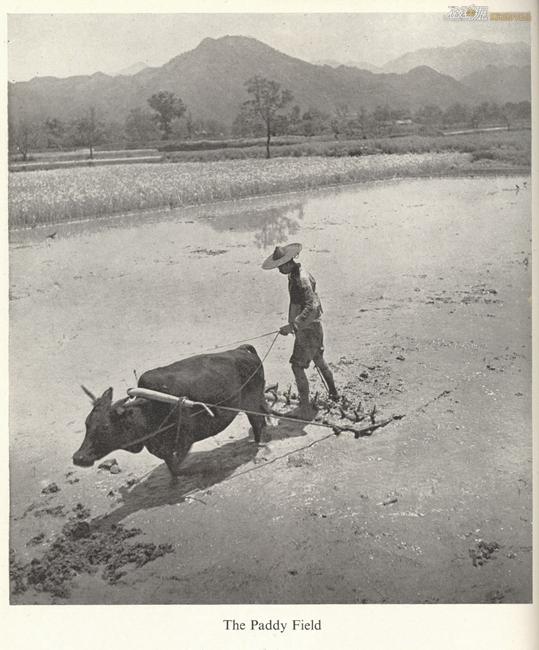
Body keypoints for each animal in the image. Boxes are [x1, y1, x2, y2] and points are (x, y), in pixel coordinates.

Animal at [74, 344, 268, 476]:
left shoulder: (185, 439)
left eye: (105, 426)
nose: (78, 457)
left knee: (257, 422)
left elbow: (175, 466)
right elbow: (170, 465)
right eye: (87, 423)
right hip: (258, 399)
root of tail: (241, 350)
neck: (149, 409)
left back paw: (258, 443)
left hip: (251, 404)